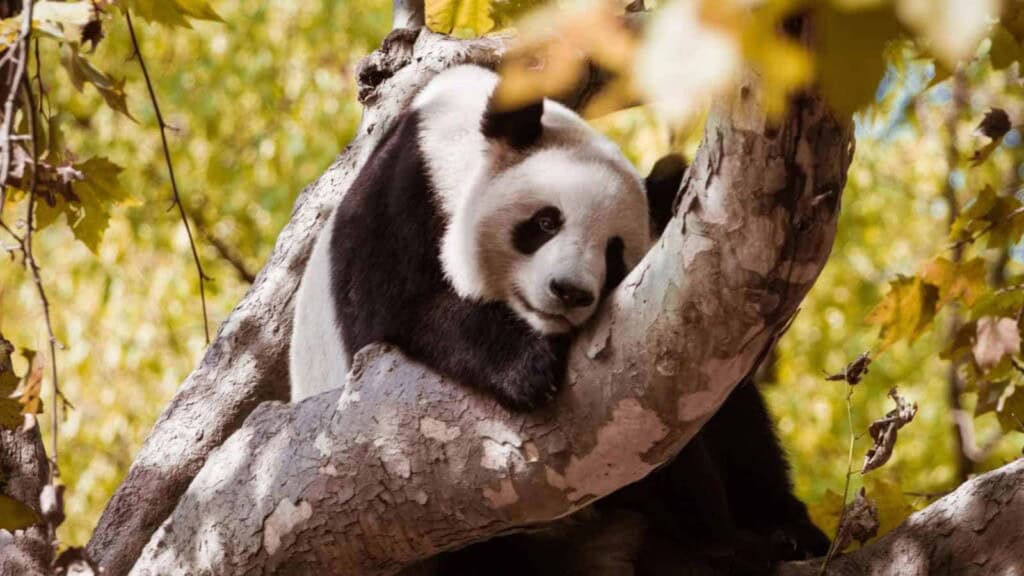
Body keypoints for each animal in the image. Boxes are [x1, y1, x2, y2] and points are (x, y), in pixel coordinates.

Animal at [289, 64, 829, 574]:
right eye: (546, 222)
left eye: (614, 253)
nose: (569, 291)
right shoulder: (399, 198)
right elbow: (402, 309)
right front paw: (526, 367)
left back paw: (776, 535)